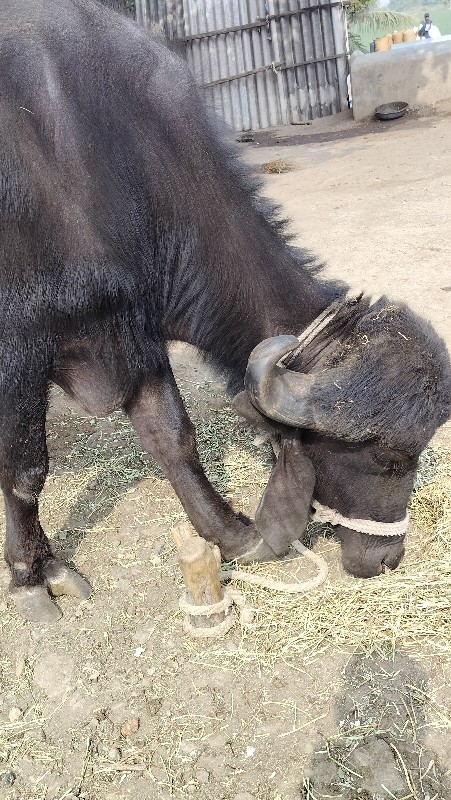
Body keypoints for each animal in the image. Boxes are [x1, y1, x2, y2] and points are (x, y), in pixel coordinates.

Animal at [2, 0, 451, 620]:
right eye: (387, 459)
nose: (387, 558)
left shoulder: (130, 330)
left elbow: (173, 437)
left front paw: (230, 532)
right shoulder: (19, 350)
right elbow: (25, 472)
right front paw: (33, 575)